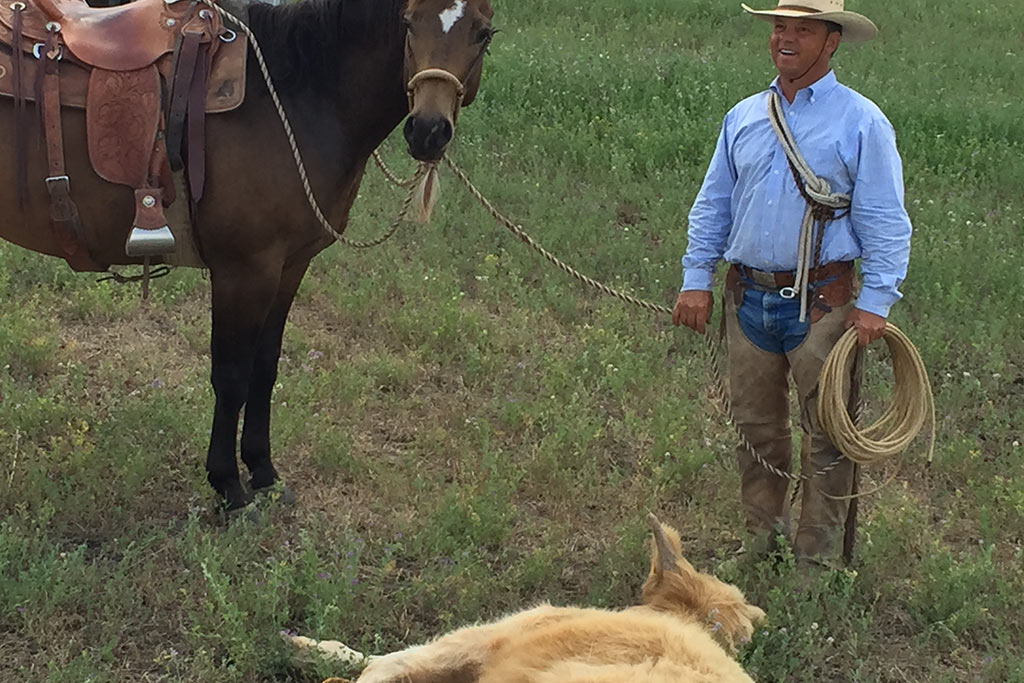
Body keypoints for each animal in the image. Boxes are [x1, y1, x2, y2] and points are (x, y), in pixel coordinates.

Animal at [0, 0, 495, 511]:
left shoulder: (289, 266)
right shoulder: (245, 271)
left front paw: (263, 470)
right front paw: (229, 486)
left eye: (484, 34)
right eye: (408, 24)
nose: (428, 131)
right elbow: (232, 375)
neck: (296, 97)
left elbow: (266, 366)